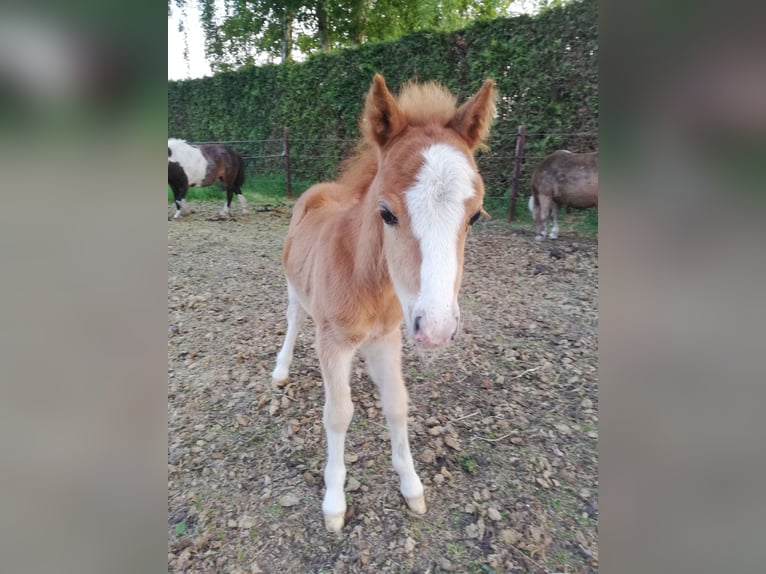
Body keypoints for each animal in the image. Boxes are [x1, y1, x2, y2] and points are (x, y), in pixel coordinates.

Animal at [272, 74, 498, 532]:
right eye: (386, 213)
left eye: (475, 216)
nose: (437, 329)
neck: (368, 282)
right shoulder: (334, 342)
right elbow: (338, 413)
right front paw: (334, 503)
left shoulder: (387, 338)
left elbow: (396, 405)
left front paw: (411, 486)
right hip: (293, 286)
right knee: (294, 317)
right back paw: (281, 369)